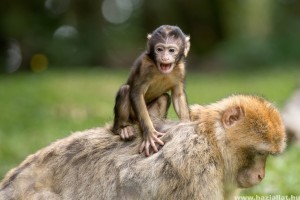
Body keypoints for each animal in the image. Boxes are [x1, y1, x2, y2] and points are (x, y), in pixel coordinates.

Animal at [111, 24, 191, 156]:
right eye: (160, 49)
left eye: (171, 50)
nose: (164, 57)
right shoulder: (144, 66)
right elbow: (136, 93)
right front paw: (149, 134)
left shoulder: (181, 69)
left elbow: (178, 95)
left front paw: (186, 124)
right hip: (133, 117)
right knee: (125, 90)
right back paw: (122, 128)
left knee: (164, 97)